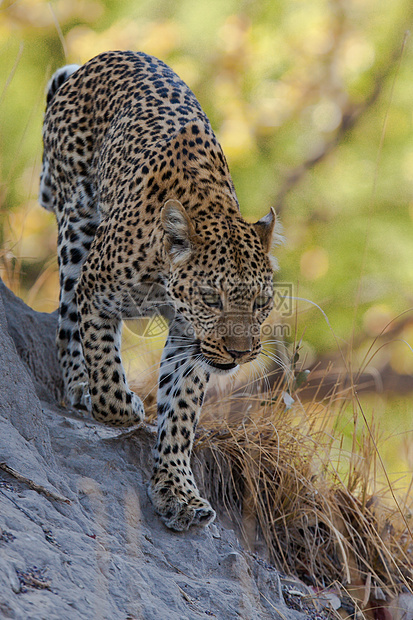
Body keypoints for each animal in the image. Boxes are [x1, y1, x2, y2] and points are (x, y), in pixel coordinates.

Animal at [39, 49, 280, 532]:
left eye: (261, 303)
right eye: (211, 299)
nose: (242, 353)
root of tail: (94, 62)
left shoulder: (193, 341)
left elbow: (180, 413)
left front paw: (176, 491)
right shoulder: (96, 289)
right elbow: (105, 367)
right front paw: (120, 405)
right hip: (75, 227)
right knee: (67, 321)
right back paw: (78, 384)